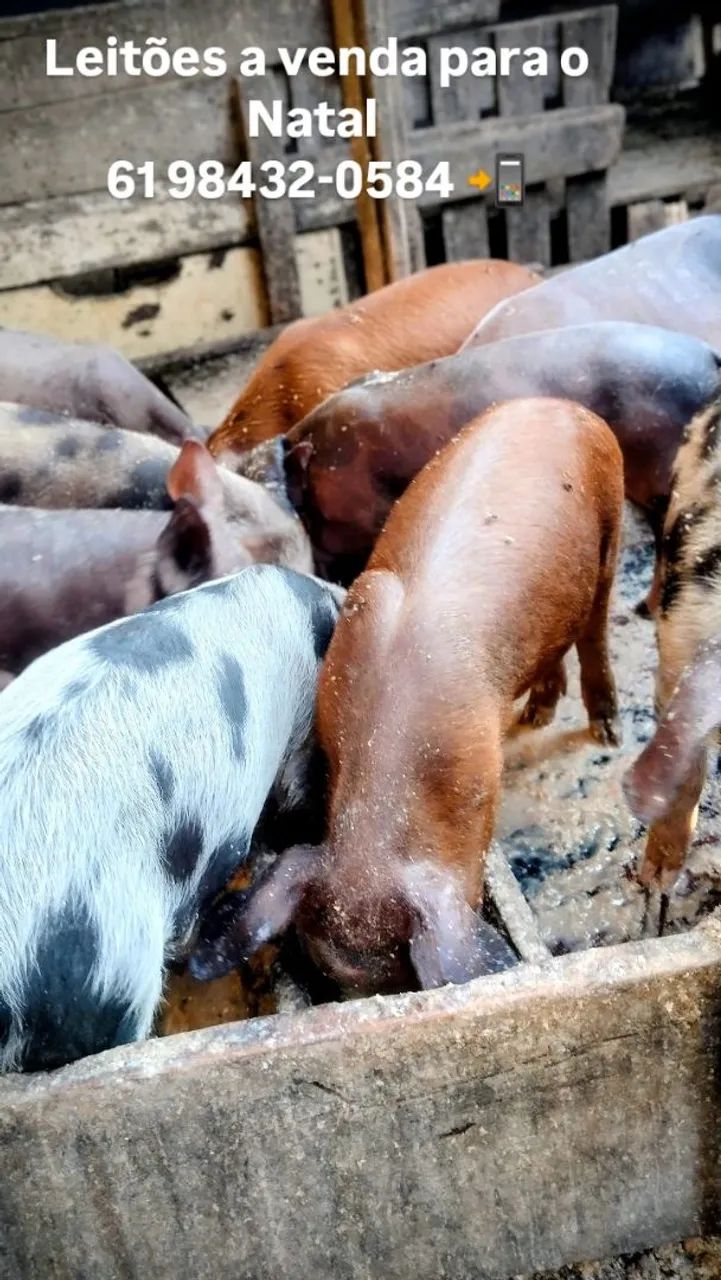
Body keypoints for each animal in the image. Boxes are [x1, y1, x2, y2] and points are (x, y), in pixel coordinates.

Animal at [191, 398, 624, 995]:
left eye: (398, 975)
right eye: (333, 979)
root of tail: (560, 404)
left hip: (612, 517)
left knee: (596, 624)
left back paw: (608, 730)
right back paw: (539, 713)